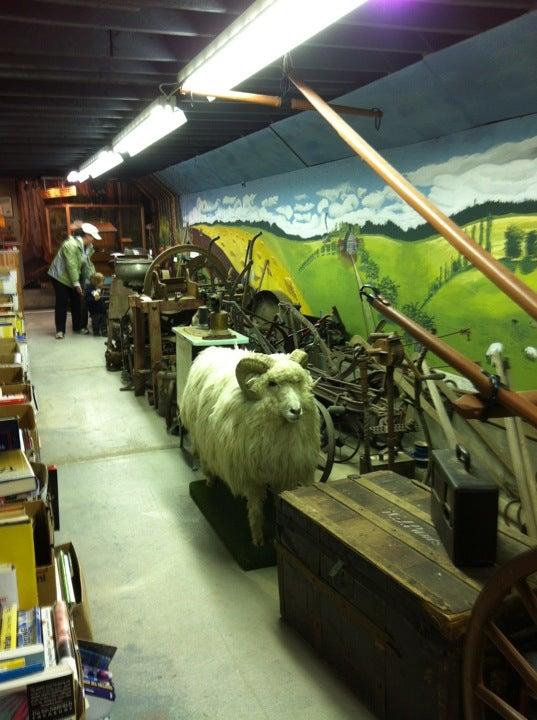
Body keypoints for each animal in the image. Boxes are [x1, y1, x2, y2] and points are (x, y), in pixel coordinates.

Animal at [180, 348, 318, 544]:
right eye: (272, 383)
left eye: (298, 382)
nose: (296, 411)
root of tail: (211, 350)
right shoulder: (251, 477)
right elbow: (255, 510)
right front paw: (258, 538)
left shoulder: (282, 472)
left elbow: (278, 503)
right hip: (201, 436)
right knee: (206, 459)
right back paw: (209, 481)